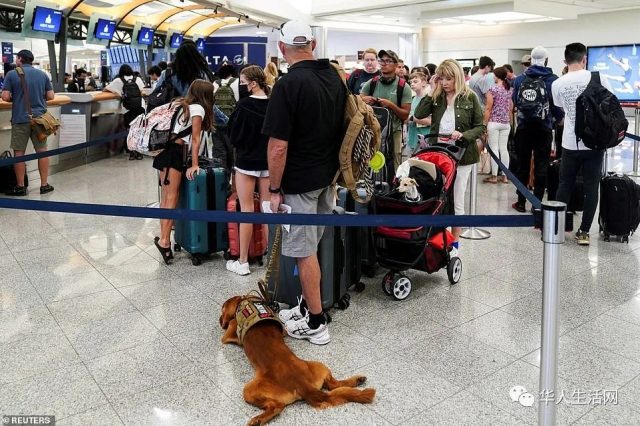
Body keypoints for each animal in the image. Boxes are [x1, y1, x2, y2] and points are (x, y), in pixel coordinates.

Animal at [220, 296, 376, 426]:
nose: (221, 321)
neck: (245, 300)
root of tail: (303, 385)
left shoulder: (229, 333)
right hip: (318, 364)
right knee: (333, 384)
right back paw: (358, 380)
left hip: (249, 390)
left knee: (277, 407)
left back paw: (258, 420)